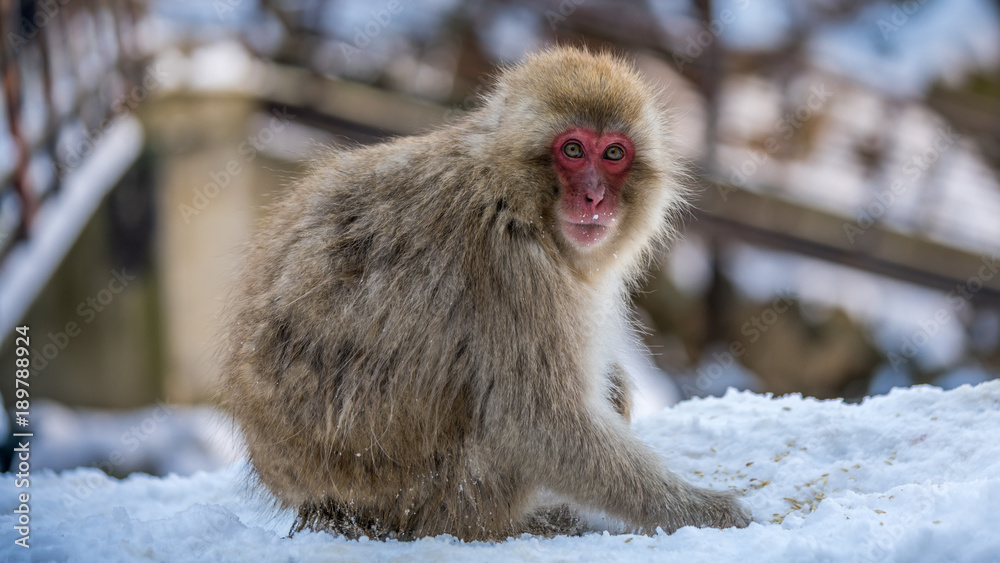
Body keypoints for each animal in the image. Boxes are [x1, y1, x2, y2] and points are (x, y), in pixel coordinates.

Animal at [221, 46, 751, 542]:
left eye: (614, 154)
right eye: (573, 149)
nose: (595, 197)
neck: (510, 191)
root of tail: (310, 500)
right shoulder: (510, 265)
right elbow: (536, 423)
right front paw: (706, 512)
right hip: (431, 499)